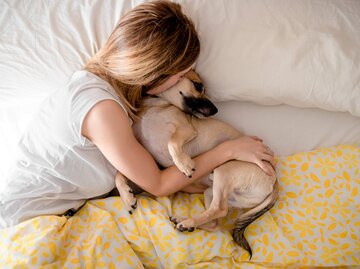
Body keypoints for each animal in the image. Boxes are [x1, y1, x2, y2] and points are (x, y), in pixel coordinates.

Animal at [115, 69, 278, 258]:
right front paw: (127, 197)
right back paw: (186, 222)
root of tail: (275, 181)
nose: (215, 110)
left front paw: (183, 164)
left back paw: (188, 222)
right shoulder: (149, 161)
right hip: (212, 191)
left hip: (224, 170)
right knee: (215, 222)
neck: (155, 105)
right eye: (198, 85)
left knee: (219, 209)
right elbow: (119, 173)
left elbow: (172, 143)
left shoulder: (186, 130)